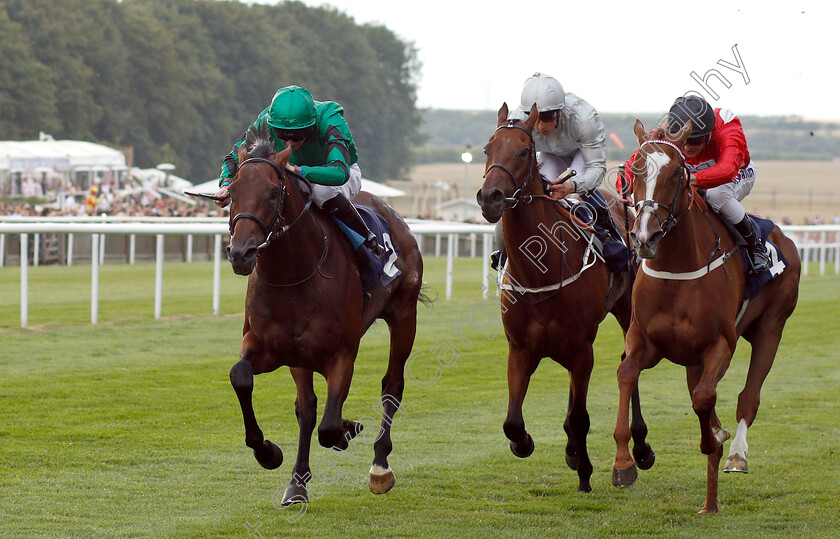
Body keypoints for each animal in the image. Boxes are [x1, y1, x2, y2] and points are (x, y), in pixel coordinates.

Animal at [225, 126, 426, 506]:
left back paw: (380, 467)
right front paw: (269, 454)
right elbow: (244, 378)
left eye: (272, 193)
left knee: (392, 386)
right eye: (232, 192)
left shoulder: (342, 354)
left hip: (405, 314)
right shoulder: (275, 348)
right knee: (307, 408)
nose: (241, 253)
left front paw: (349, 429)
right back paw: (297, 482)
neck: (293, 276)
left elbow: (330, 426)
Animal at [476, 104, 652, 494]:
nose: (490, 197)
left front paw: (585, 472)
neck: (540, 272)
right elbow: (513, 422)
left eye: (523, 151)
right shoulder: (520, 349)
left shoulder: (582, 348)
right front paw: (527, 444)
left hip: (627, 309)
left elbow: (581, 417)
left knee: (629, 364)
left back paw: (639, 449)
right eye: (487, 149)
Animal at [612, 120, 804, 512]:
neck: (676, 268)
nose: (644, 236)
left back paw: (736, 455)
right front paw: (624, 463)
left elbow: (704, 398)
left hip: (772, 327)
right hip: (692, 358)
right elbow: (626, 374)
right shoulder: (644, 342)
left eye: (677, 173)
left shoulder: (720, 345)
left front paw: (714, 439)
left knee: (748, 396)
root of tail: (785, 237)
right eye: (634, 170)